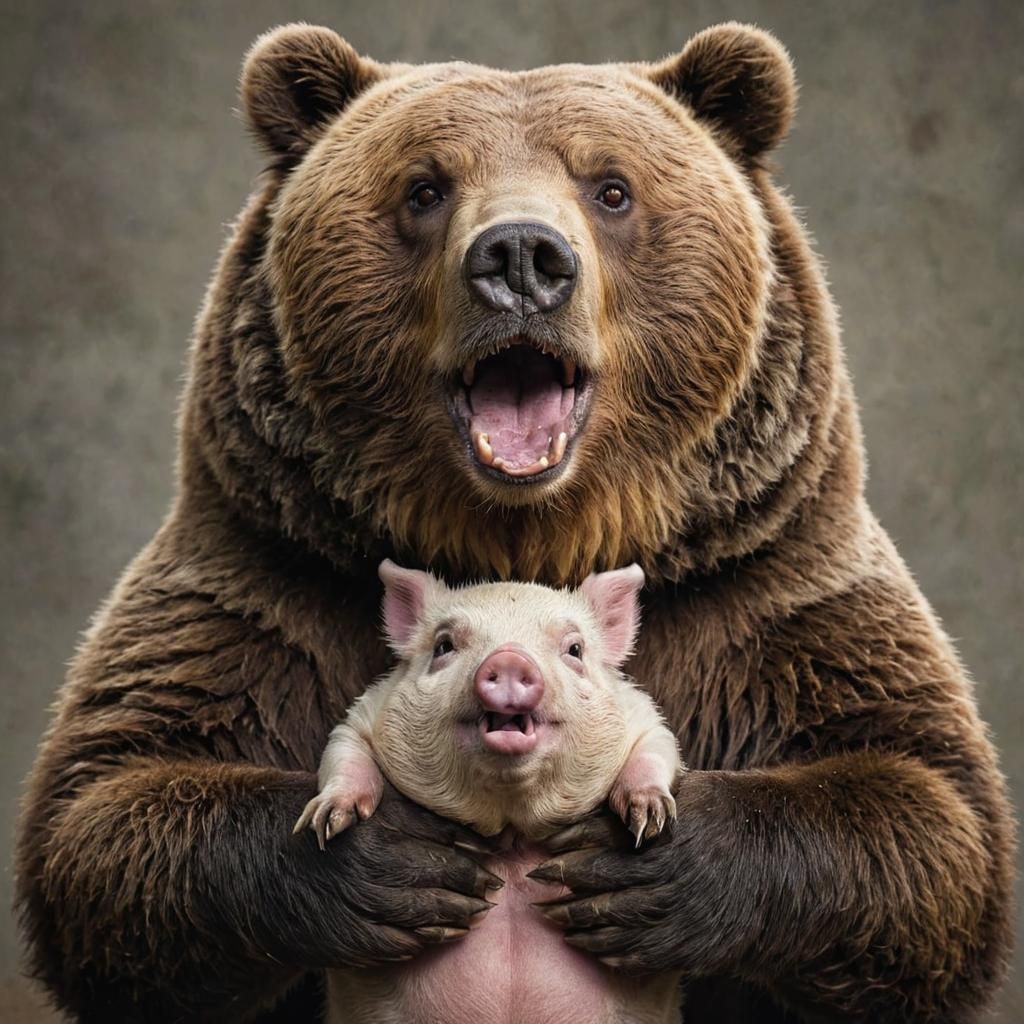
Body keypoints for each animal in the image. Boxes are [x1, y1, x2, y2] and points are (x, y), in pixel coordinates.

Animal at [295, 560, 684, 1024]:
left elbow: (656, 753)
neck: (511, 826)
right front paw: (326, 825)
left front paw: (649, 822)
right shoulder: (359, 720)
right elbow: (344, 756)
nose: (511, 658)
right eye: (444, 645)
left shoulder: (647, 720)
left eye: (574, 650)